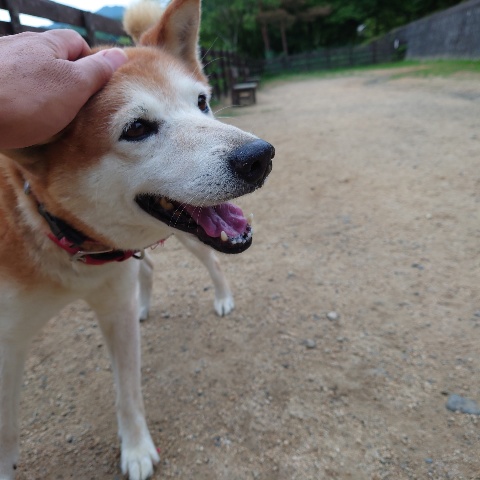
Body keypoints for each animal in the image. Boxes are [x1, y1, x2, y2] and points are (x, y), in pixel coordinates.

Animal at [0, 0, 274, 478]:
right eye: (136, 129)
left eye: (201, 102)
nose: (259, 157)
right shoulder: (7, 344)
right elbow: (7, 433)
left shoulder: (114, 306)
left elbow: (127, 390)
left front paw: (136, 450)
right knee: (147, 268)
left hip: (189, 238)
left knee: (210, 263)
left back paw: (221, 297)